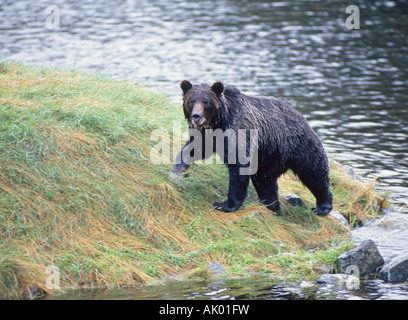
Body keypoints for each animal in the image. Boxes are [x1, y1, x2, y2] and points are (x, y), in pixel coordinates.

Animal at [172, 80, 332, 216]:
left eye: (206, 102)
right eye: (191, 101)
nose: (196, 116)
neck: (218, 122)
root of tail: (302, 117)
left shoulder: (239, 132)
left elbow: (239, 167)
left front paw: (225, 204)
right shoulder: (209, 135)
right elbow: (197, 148)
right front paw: (179, 166)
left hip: (299, 146)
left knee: (314, 172)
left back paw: (322, 206)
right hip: (268, 156)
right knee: (264, 180)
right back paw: (270, 204)